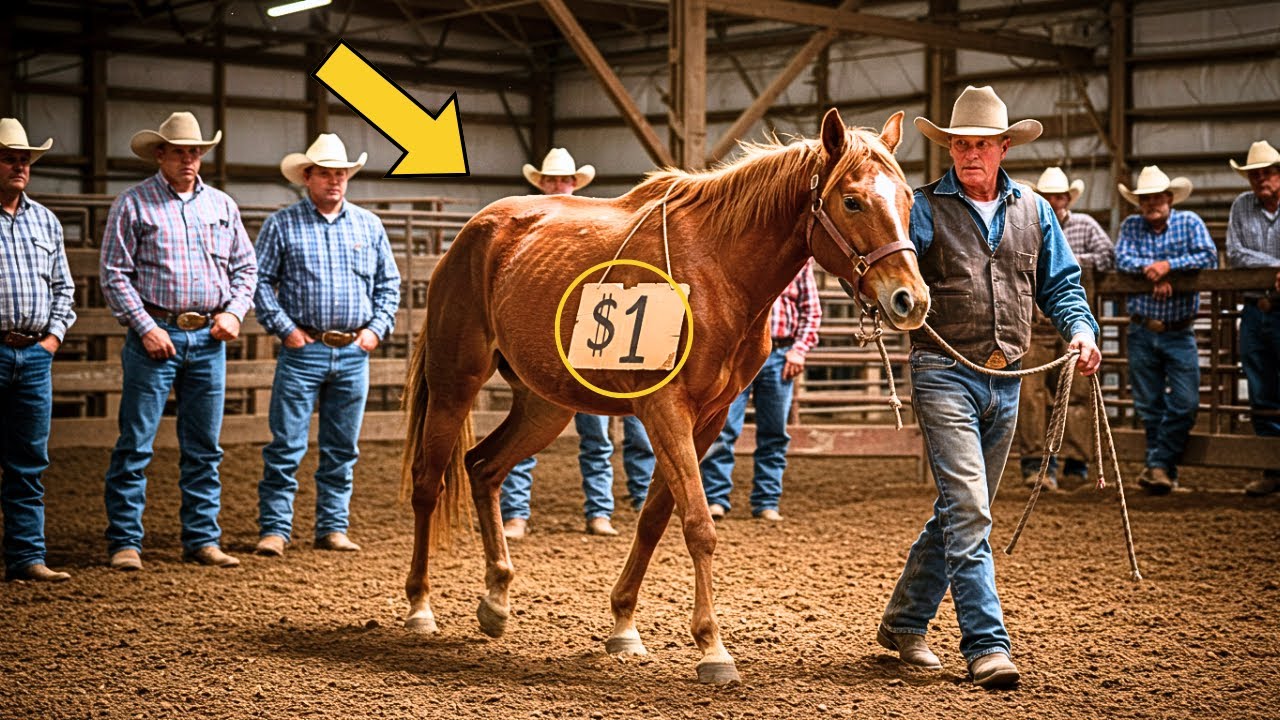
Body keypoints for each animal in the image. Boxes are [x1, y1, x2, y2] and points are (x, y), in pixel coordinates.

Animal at [400, 108, 929, 685]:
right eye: (852, 201)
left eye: (907, 198)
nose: (912, 299)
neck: (717, 273)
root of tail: (473, 234)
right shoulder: (664, 408)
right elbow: (698, 523)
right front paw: (713, 648)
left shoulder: (709, 417)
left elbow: (655, 517)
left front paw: (624, 626)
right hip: (453, 384)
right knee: (428, 484)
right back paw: (420, 607)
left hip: (545, 406)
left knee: (483, 468)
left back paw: (496, 599)